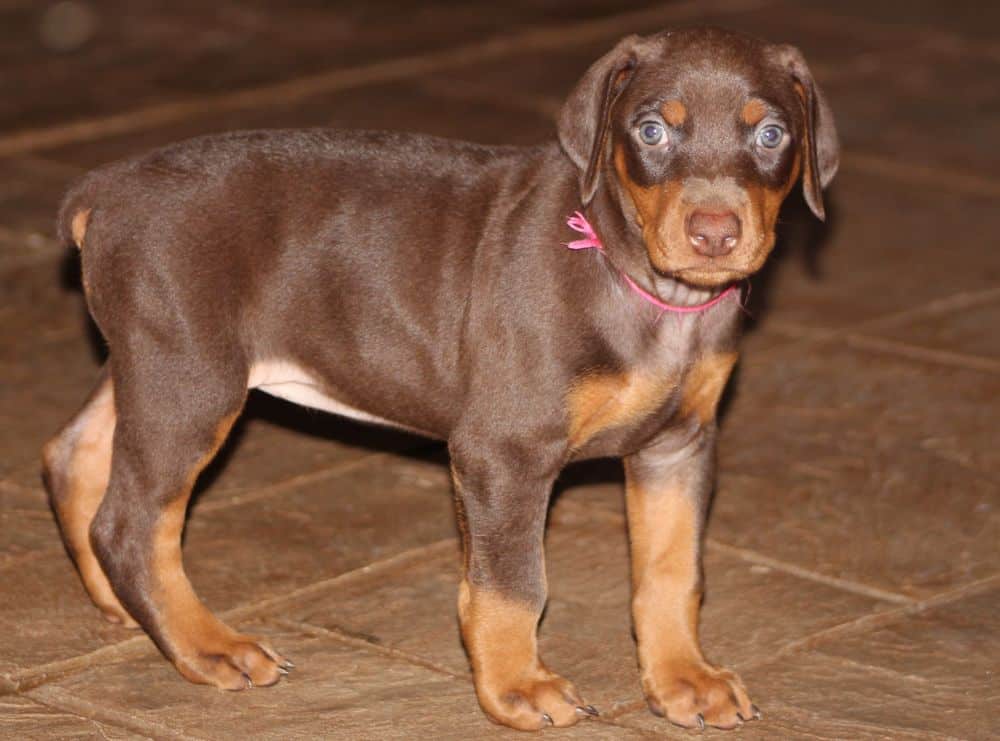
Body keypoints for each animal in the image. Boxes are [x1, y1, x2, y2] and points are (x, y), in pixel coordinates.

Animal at [43, 27, 836, 728]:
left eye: (771, 135)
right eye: (650, 131)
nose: (714, 233)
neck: (640, 284)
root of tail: (105, 188)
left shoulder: (679, 445)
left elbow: (672, 572)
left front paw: (683, 678)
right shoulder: (505, 452)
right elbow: (512, 582)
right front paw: (517, 687)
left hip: (154, 360)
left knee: (75, 456)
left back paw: (126, 606)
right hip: (191, 375)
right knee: (131, 521)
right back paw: (207, 645)